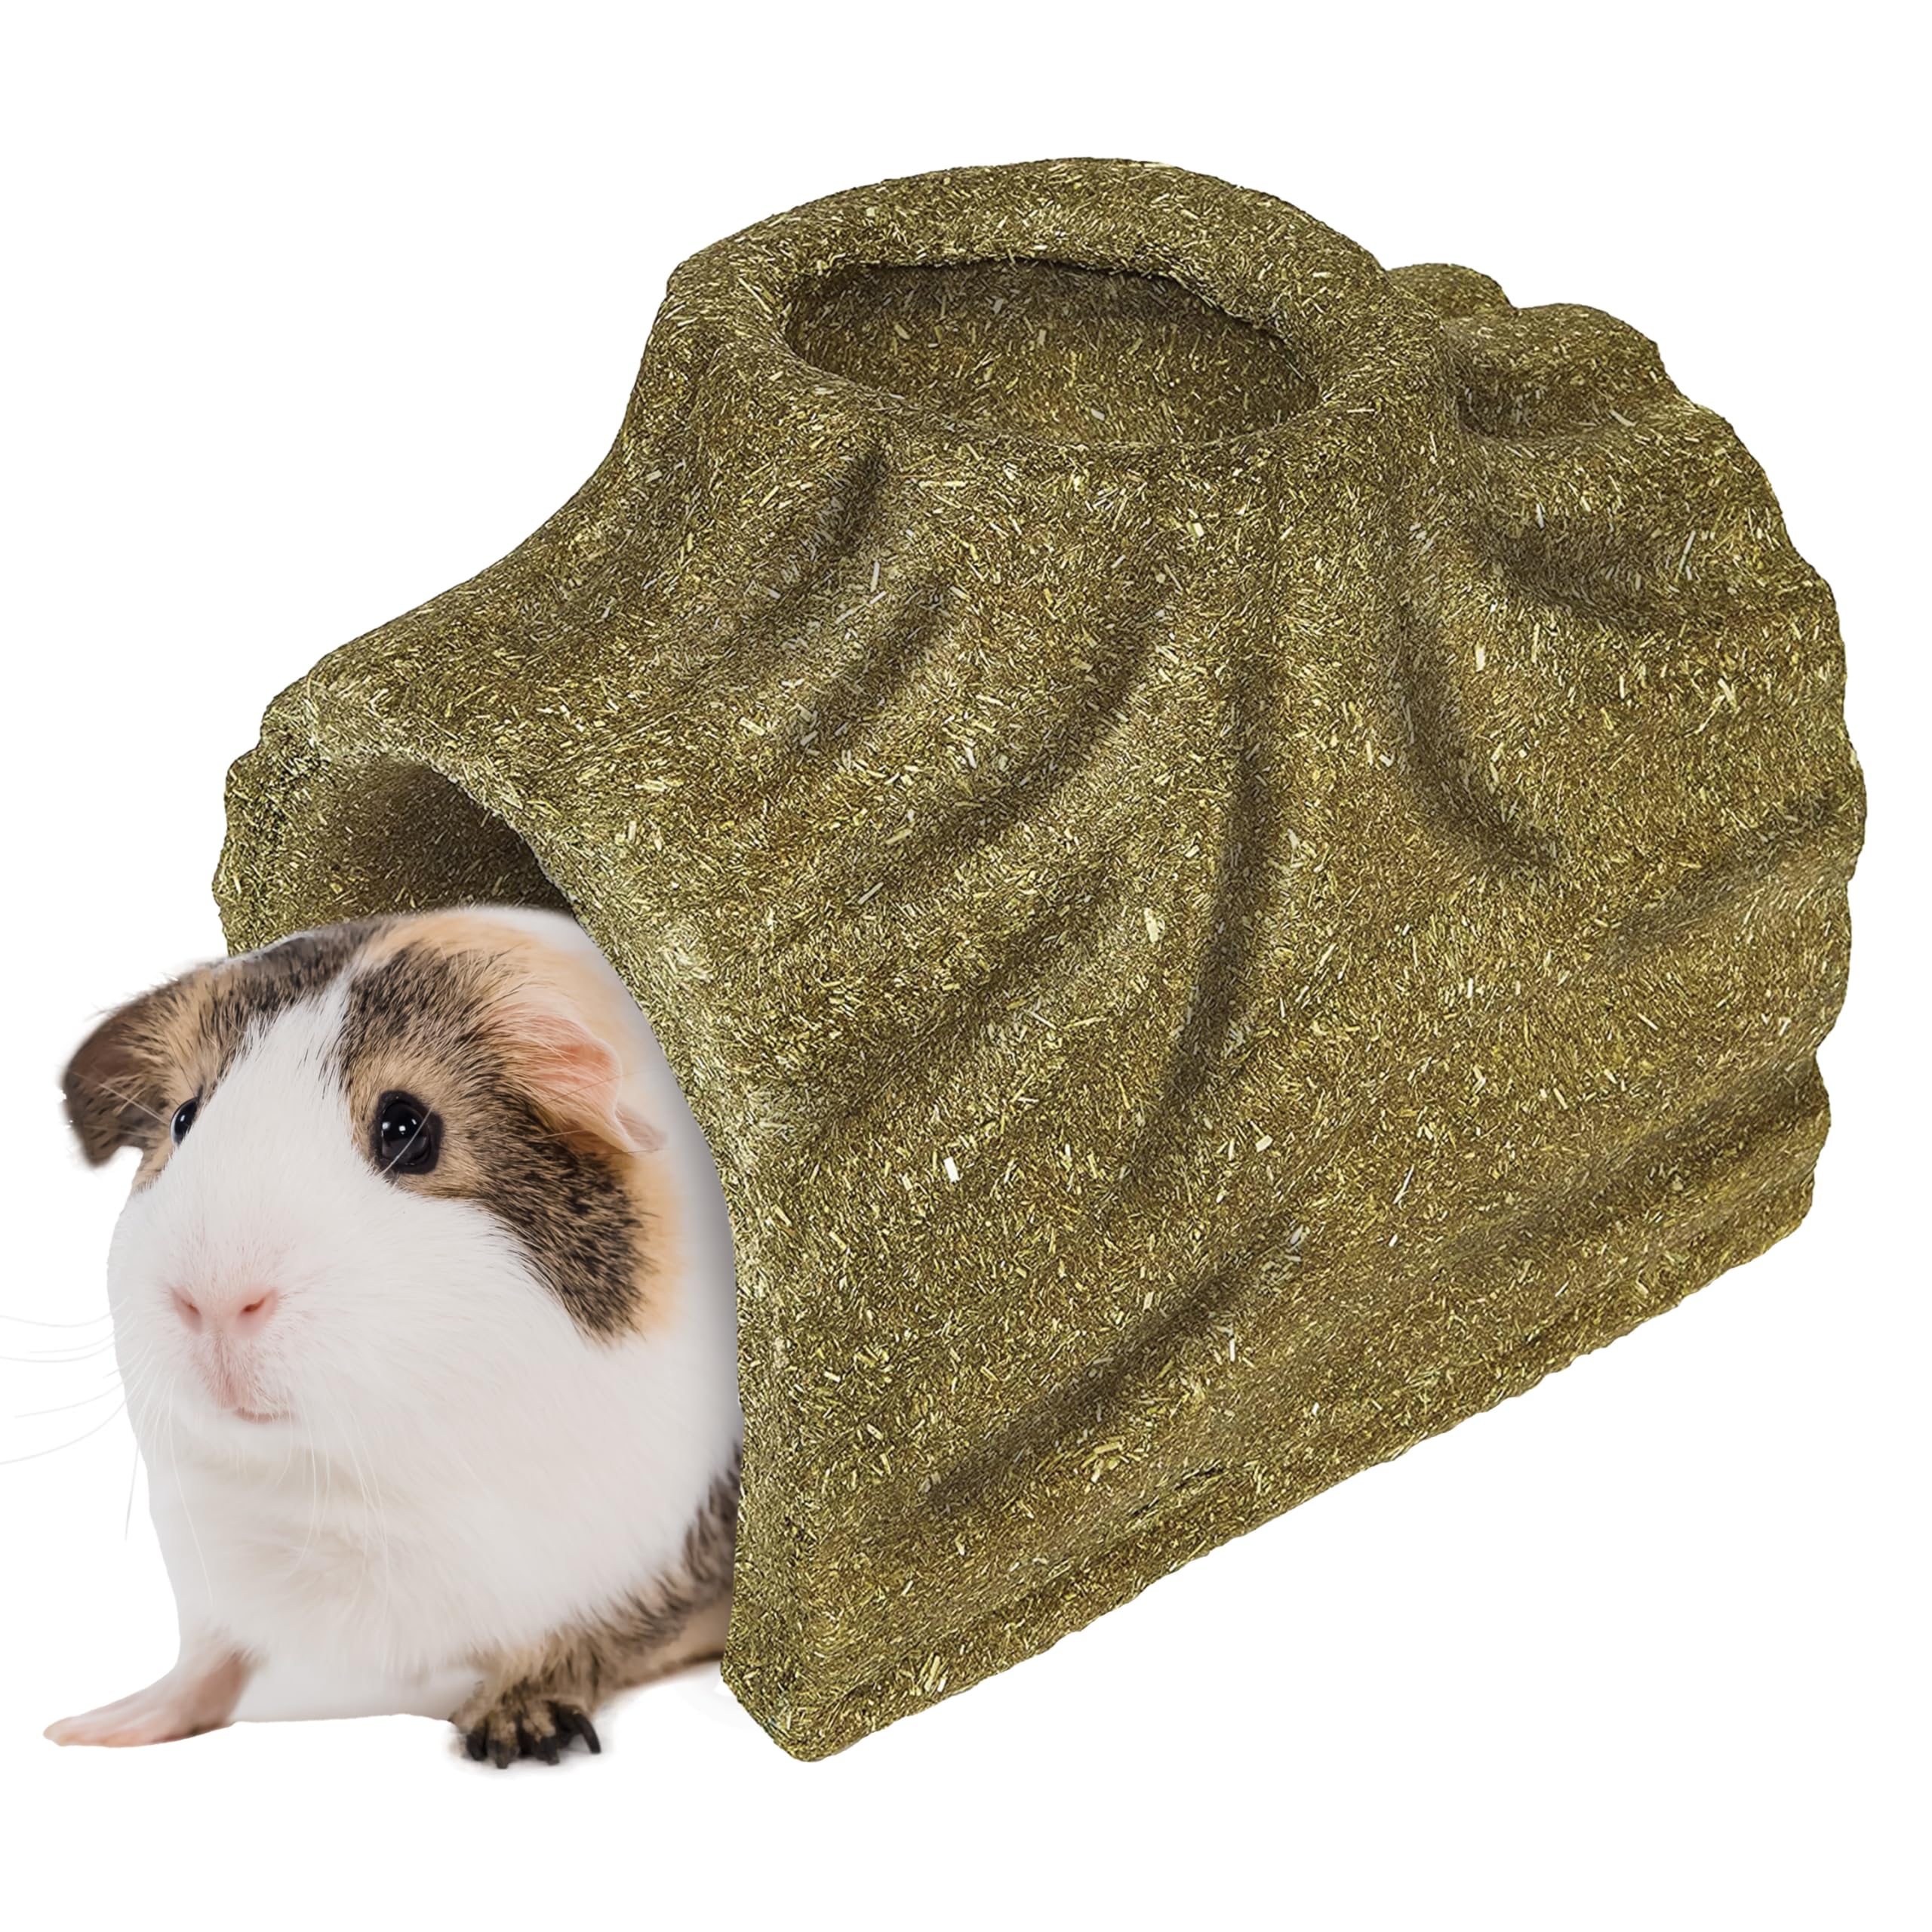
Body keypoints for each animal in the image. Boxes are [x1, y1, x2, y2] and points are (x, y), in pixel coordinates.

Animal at [45, 905, 743, 1766]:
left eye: (407, 1129)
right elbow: (205, 1661)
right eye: (184, 1118)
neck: (342, 1488)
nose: (214, 1297)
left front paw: (517, 1735)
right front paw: (86, 1731)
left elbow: (574, 1643)